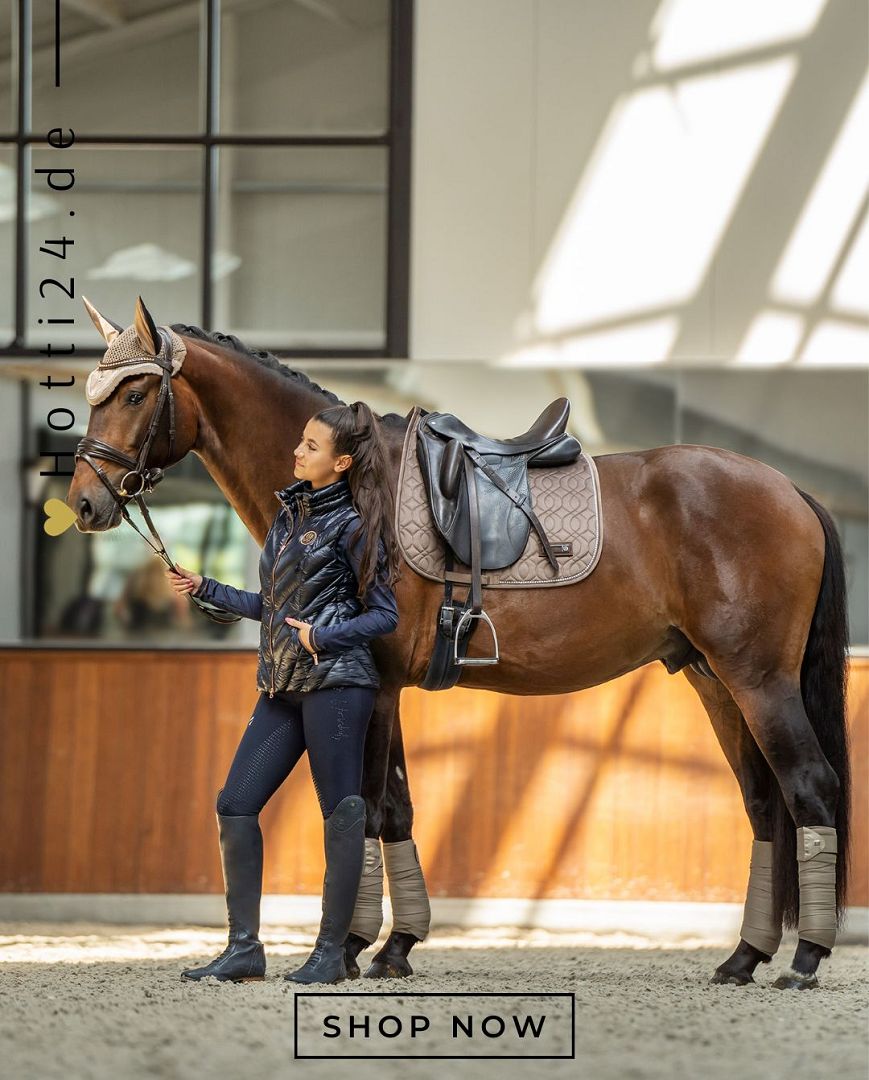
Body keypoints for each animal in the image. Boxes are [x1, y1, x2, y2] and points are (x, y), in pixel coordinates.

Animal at [69, 300, 846, 989]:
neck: (358, 487)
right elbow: (397, 807)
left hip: (758, 681)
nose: (84, 501)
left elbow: (367, 804)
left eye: (135, 392)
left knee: (808, 788)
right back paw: (743, 958)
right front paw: (394, 946)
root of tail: (790, 490)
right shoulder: (385, 692)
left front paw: (351, 947)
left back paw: (805, 959)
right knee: (763, 804)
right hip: (716, 681)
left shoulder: (374, 686)